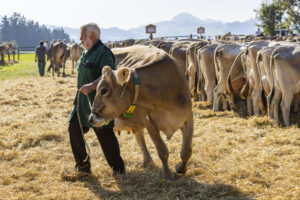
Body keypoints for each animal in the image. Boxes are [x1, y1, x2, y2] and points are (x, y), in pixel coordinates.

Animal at [89, 45, 193, 180]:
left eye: (103, 90)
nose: (91, 117)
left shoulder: (188, 118)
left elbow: (186, 151)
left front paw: (181, 168)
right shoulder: (149, 123)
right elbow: (162, 151)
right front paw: (168, 174)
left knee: (139, 137)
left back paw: (148, 161)